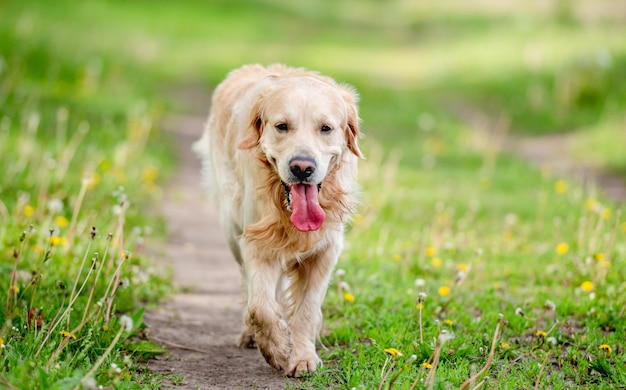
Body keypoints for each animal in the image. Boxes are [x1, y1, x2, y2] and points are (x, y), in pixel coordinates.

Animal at [194, 63, 360, 374]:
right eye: (282, 126)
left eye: (326, 128)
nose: (302, 168)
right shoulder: (256, 240)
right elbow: (260, 307)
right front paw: (277, 349)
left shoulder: (327, 249)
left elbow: (307, 309)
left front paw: (303, 356)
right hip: (231, 229)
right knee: (248, 287)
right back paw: (250, 334)